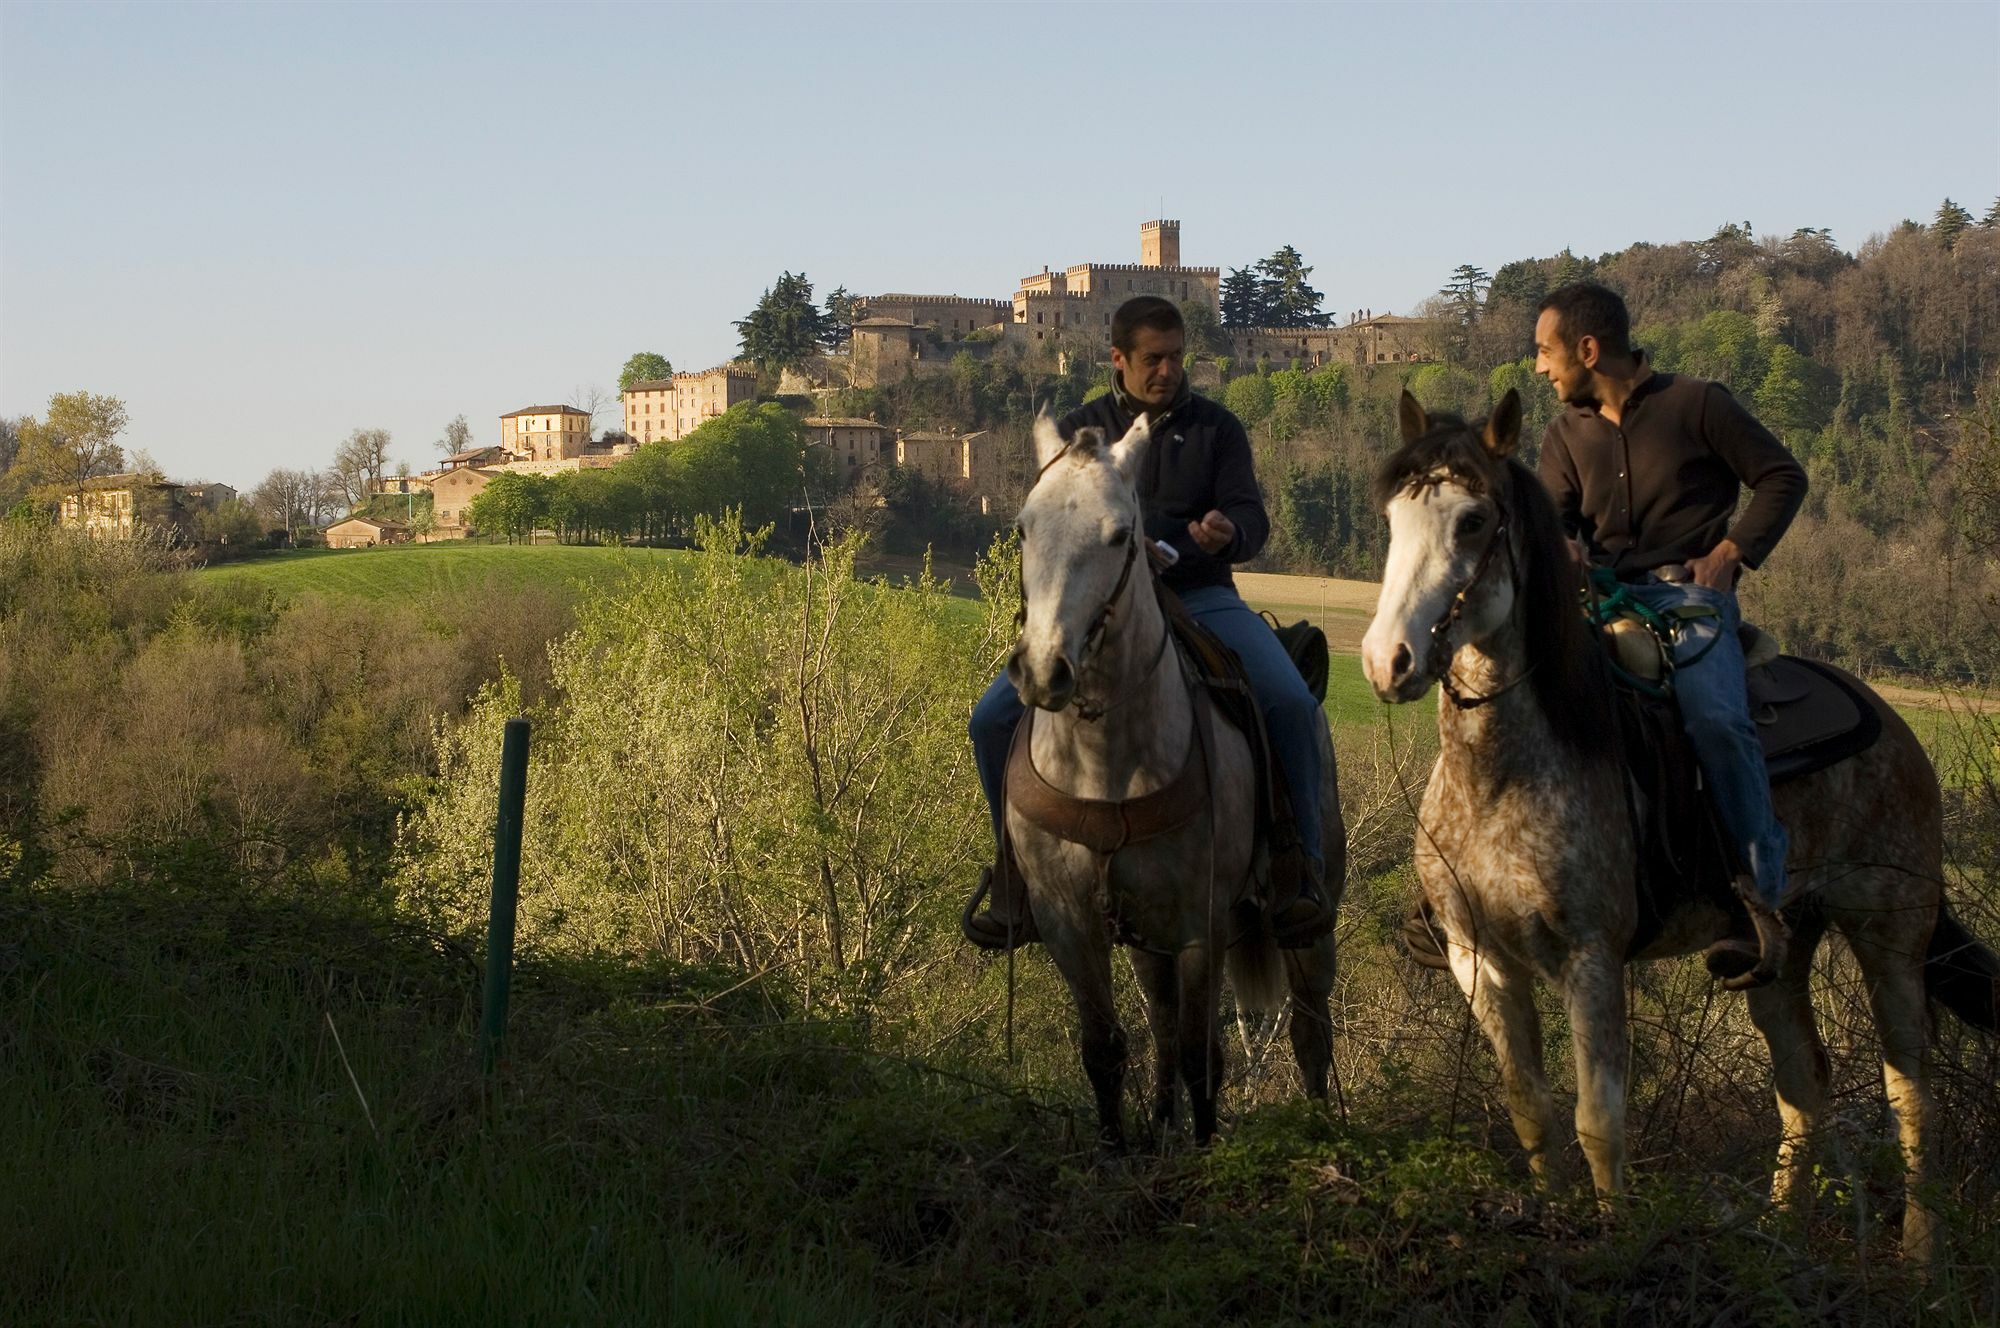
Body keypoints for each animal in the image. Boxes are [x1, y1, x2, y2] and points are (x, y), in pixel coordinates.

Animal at [1360, 390, 2000, 1264]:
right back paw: (1778, 1235)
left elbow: (1599, 1121)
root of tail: (1894, 726)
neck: (1503, 772)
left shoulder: (1592, 958)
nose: (1386, 661)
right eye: (1393, 516)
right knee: (1803, 1087)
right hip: (1781, 953)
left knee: (1911, 1087)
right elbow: (1532, 1113)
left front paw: (1615, 1238)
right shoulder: (1477, 957)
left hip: (1889, 933)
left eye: (1472, 520)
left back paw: (1920, 1254)